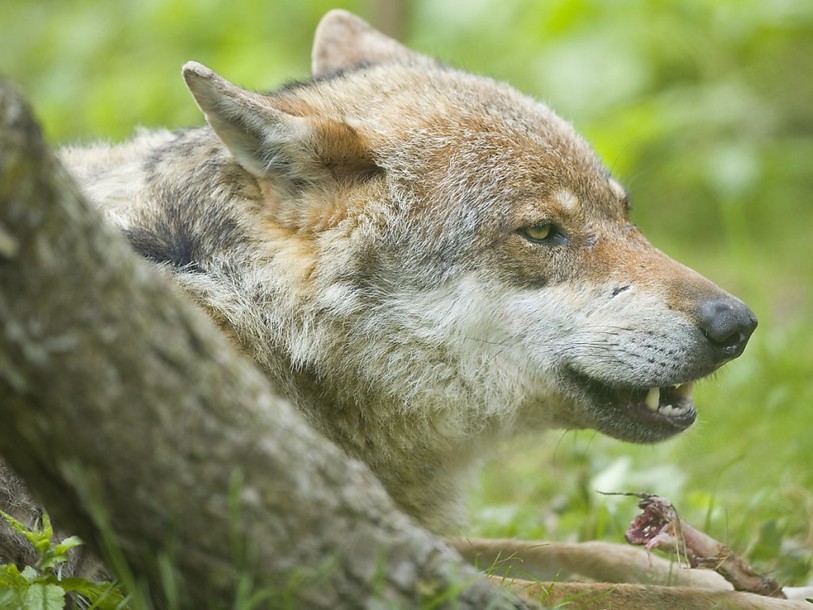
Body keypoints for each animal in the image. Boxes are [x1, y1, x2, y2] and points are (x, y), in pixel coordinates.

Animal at [50, 9, 811, 609]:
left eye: (625, 215)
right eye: (542, 231)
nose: (736, 325)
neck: (264, 331)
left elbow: (607, 557)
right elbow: (617, 593)